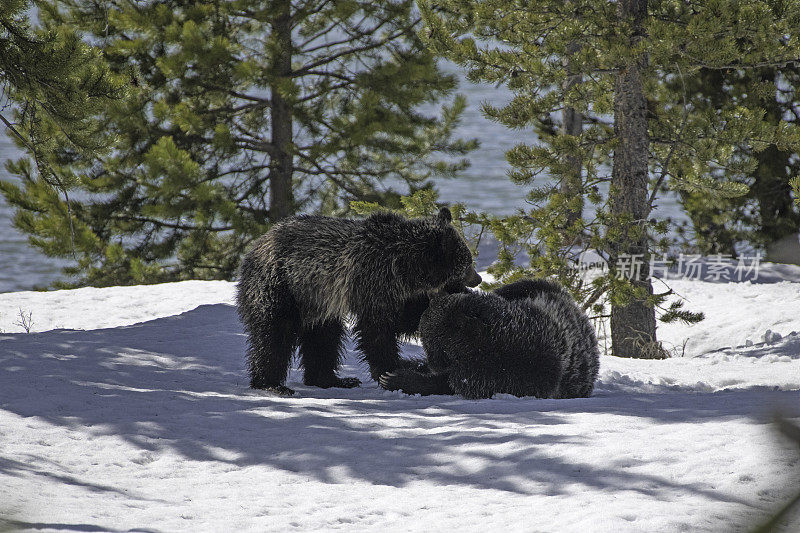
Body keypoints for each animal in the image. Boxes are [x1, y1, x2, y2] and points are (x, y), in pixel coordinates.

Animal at [234, 208, 478, 394]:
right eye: (467, 264)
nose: (478, 279)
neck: (403, 267)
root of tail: (255, 246)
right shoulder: (373, 282)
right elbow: (376, 331)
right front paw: (389, 370)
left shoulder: (393, 291)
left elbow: (408, 317)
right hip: (281, 287)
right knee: (274, 336)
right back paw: (272, 384)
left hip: (317, 304)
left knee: (324, 339)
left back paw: (333, 379)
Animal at [382, 278, 600, 400]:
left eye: (428, 341)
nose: (432, 363)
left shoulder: (504, 373)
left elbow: (448, 383)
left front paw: (397, 378)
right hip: (538, 289)